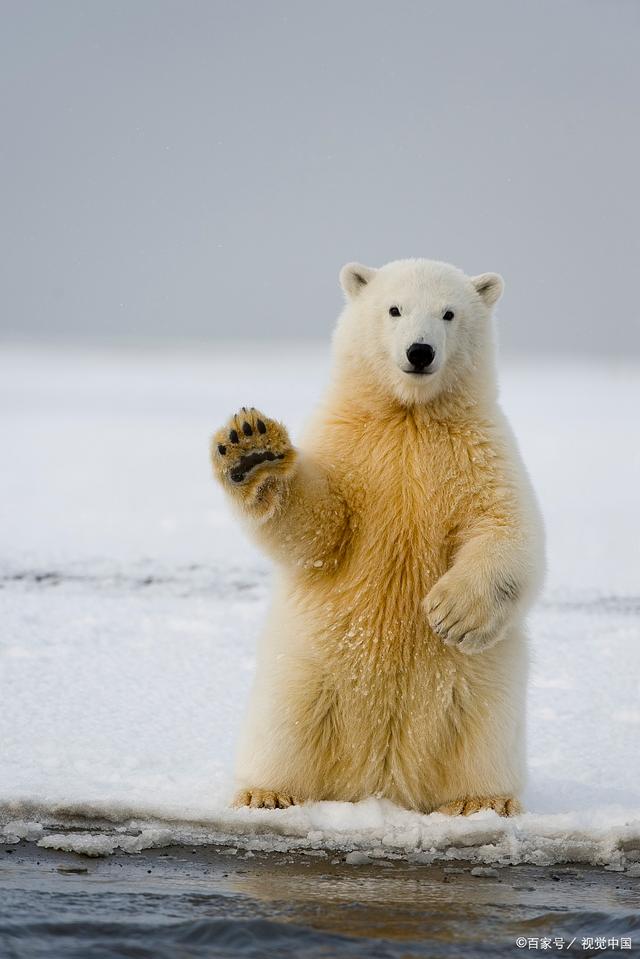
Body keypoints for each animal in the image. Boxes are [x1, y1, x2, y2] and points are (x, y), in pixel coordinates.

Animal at [212, 260, 544, 816]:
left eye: (449, 313)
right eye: (394, 309)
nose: (420, 351)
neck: (409, 415)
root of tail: (382, 780)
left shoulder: (481, 452)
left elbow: (506, 528)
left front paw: (452, 613)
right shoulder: (350, 445)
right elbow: (321, 527)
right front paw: (251, 450)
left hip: (482, 688)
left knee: (483, 732)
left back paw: (481, 802)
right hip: (306, 669)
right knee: (285, 723)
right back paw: (267, 792)